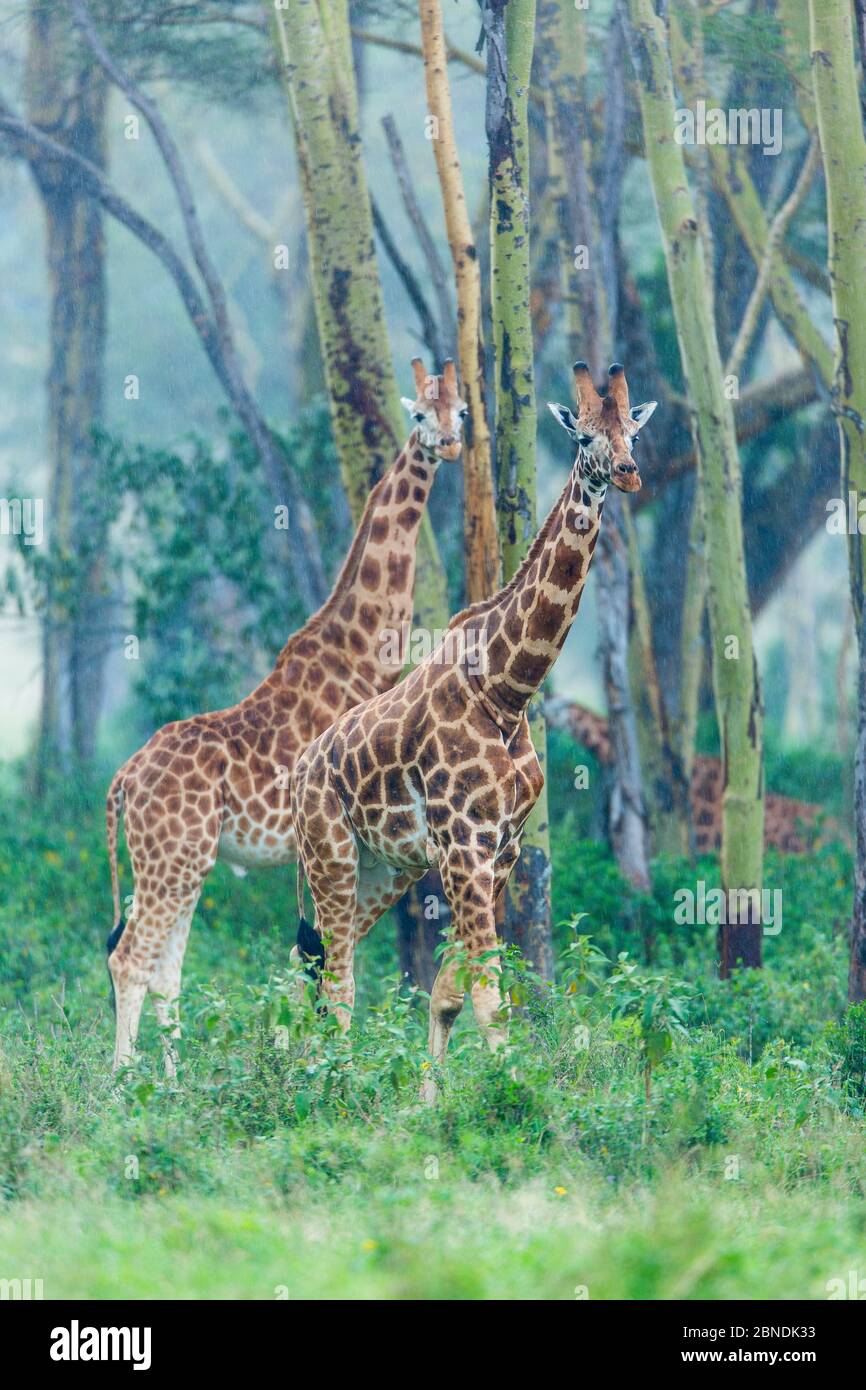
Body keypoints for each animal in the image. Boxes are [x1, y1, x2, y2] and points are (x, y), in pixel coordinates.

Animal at [105, 358, 469, 1073]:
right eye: (419, 413)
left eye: (461, 411)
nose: (447, 445)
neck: (364, 644)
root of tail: (124, 779)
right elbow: (324, 960)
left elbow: (308, 961)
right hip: (172, 859)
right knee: (129, 958)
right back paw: (119, 1082)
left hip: (181, 860)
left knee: (164, 970)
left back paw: (170, 1081)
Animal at [291, 364, 656, 1100]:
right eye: (584, 436)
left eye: (633, 432)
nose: (629, 474)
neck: (508, 689)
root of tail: (304, 768)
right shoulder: (463, 842)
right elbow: (487, 992)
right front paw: (522, 1100)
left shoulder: (502, 849)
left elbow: (448, 992)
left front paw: (431, 1106)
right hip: (332, 855)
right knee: (338, 984)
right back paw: (328, 1093)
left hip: (383, 871)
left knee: (313, 971)